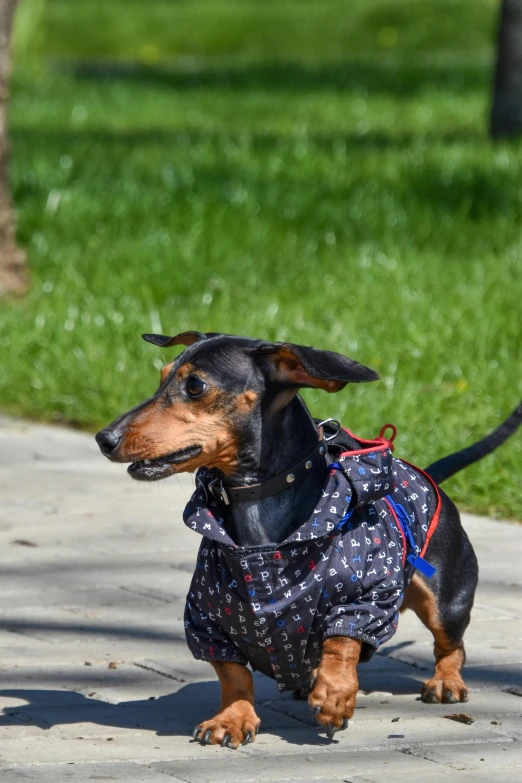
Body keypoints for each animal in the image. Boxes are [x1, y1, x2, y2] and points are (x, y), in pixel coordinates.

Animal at [95, 330, 516, 748]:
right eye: (162, 376)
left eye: (195, 386)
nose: (104, 438)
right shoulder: (206, 618)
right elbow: (233, 673)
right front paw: (232, 718)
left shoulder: (368, 597)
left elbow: (342, 641)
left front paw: (334, 694)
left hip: (446, 601)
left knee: (451, 645)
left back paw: (445, 681)